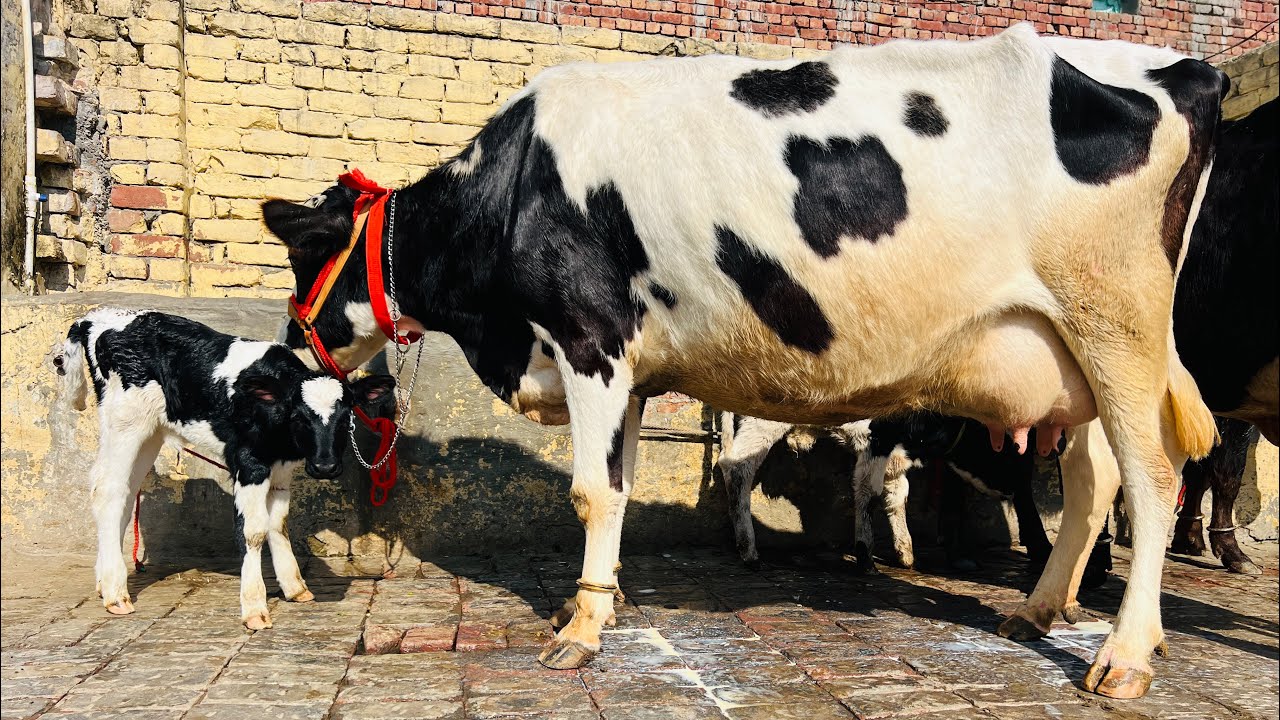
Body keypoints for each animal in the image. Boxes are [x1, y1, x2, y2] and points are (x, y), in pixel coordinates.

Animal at [54, 309, 396, 629]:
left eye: (346, 415)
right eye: (298, 416)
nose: (325, 466)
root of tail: (98, 318)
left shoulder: (281, 468)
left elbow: (279, 523)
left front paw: (295, 587)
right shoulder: (248, 462)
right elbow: (253, 531)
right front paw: (255, 607)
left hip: (150, 432)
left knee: (124, 495)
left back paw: (104, 582)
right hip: (125, 422)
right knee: (107, 490)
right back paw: (116, 593)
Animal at [261, 25, 1227, 698]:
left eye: (304, 260)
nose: (288, 344)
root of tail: (1185, 67)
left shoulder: (588, 337)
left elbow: (591, 490)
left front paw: (578, 631)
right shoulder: (632, 370)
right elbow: (620, 483)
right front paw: (602, 600)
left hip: (1118, 324)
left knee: (1152, 478)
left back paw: (1125, 655)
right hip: (1077, 354)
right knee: (1095, 481)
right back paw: (1038, 609)